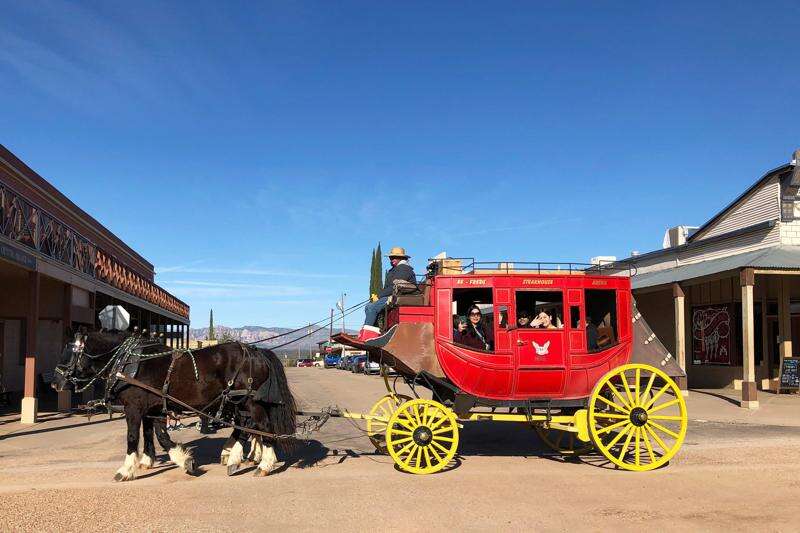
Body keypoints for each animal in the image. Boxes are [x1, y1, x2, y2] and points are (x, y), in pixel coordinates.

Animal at [53, 330, 296, 480]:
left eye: (70, 353)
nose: (55, 382)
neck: (128, 363)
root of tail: (255, 351)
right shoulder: (152, 409)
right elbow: (156, 436)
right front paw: (167, 460)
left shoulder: (134, 409)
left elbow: (133, 437)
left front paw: (126, 469)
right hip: (238, 401)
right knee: (245, 426)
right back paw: (234, 457)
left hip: (249, 401)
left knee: (262, 427)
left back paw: (264, 464)